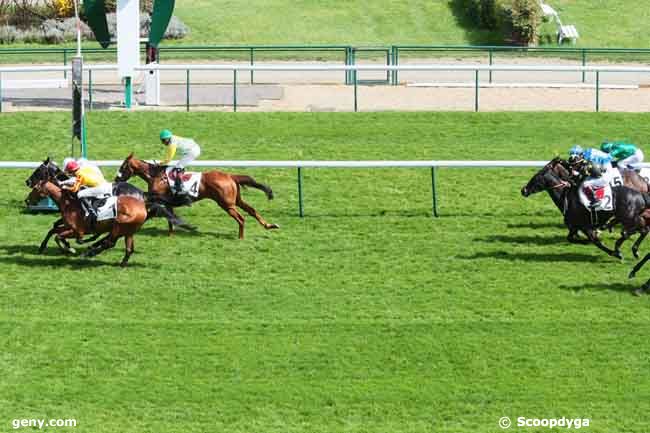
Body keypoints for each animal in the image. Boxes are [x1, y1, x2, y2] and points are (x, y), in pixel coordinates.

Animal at [115, 154, 278, 238]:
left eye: (123, 167)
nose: (116, 179)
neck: (156, 176)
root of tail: (230, 176)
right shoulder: (167, 202)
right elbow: (170, 217)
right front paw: (171, 233)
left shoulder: (161, 198)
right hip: (235, 200)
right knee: (252, 210)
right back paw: (270, 225)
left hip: (226, 204)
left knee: (241, 218)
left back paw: (241, 237)